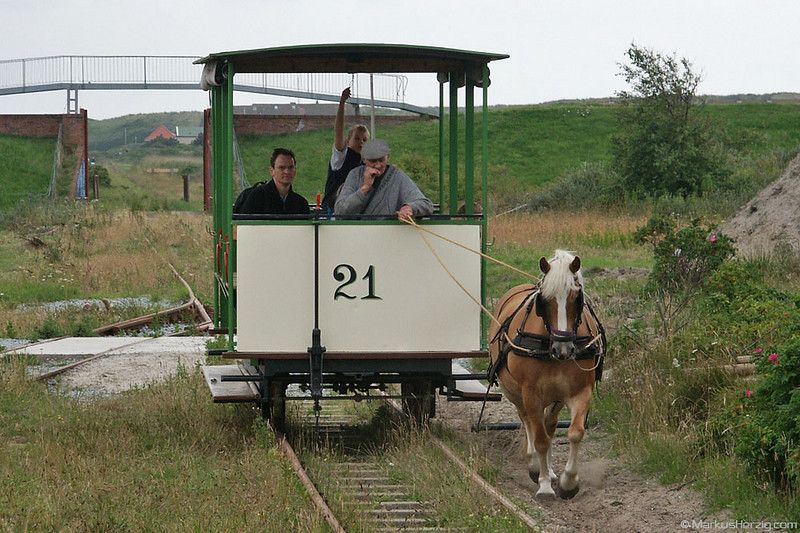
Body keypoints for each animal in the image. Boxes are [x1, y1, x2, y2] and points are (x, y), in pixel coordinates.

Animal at [488, 249, 605, 499]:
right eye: (544, 300)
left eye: (576, 297)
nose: (563, 348)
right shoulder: (530, 393)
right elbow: (540, 439)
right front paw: (543, 484)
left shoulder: (581, 392)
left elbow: (575, 433)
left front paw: (568, 482)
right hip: (516, 393)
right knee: (528, 421)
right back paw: (535, 464)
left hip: (555, 396)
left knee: (549, 424)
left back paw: (549, 470)